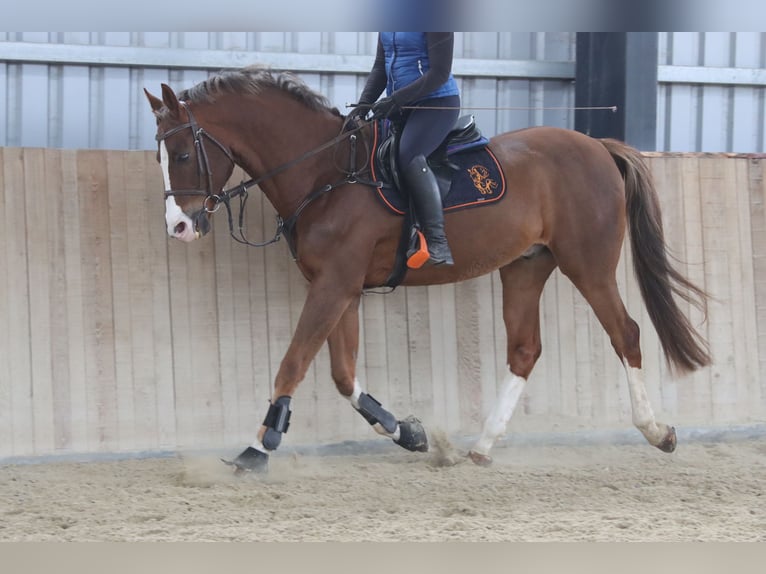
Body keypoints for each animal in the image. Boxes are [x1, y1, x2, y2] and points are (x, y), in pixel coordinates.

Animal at [146, 66, 712, 476]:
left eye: (182, 153)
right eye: (160, 157)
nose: (179, 227)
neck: (326, 173)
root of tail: (598, 146)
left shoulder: (334, 285)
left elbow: (295, 363)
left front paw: (258, 447)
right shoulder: (342, 288)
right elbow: (342, 376)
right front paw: (409, 433)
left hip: (588, 265)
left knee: (626, 333)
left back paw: (657, 432)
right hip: (526, 266)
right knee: (525, 350)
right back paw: (481, 446)